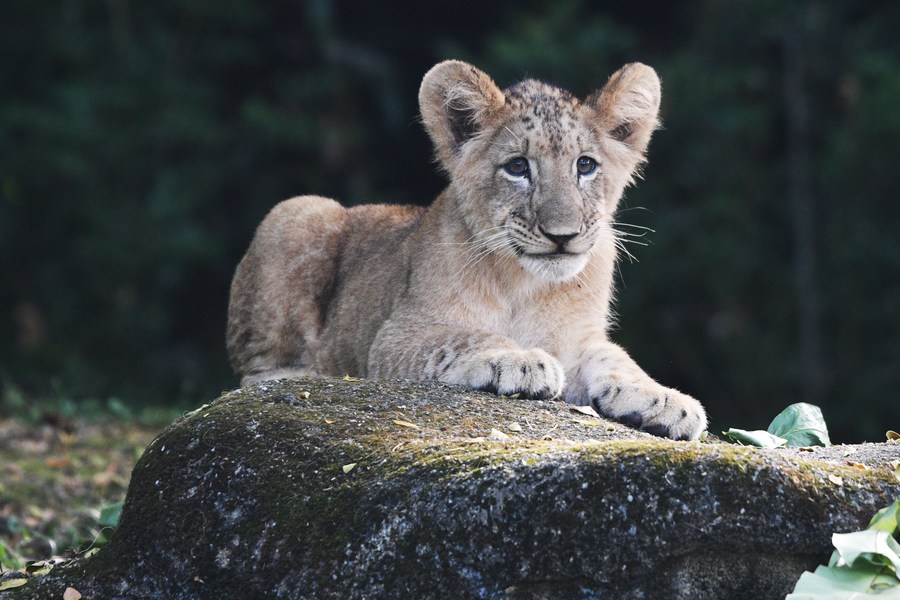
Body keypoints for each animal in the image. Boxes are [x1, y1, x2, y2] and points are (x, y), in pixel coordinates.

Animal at [226, 60, 707, 440]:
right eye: (518, 167)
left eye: (585, 165)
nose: (563, 235)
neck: (526, 283)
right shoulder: (394, 336)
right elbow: (464, 336)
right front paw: (518, 360)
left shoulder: (578, 339)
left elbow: (617, 359)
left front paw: (667, 401)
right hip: (297, 212)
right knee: (252, 374)